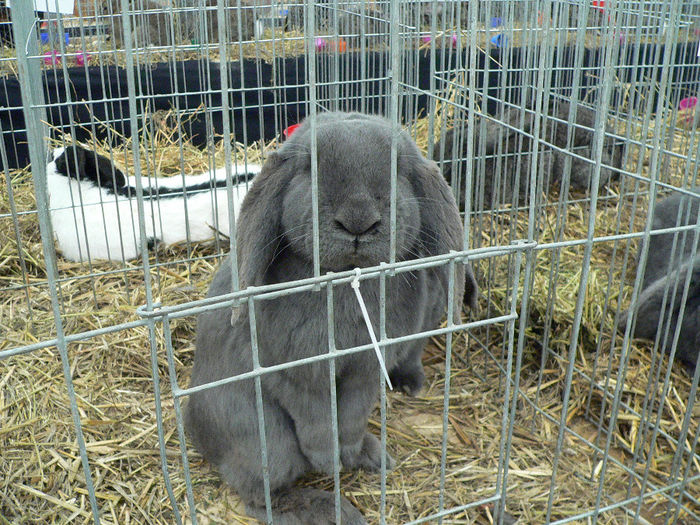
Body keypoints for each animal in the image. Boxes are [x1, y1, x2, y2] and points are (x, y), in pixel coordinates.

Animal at [183, 111, 478, 524]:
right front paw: (328, 463)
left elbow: (351, 415)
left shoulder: (366, 370)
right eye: (308, 167)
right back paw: (333, 509)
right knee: (261, 495)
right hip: (266, 444)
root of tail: (192, 426)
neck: (345, 281)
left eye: (399, 168)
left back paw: (373, 457)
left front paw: (350, 453)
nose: (358, 221)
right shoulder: (297, 372)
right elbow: (318, 419)